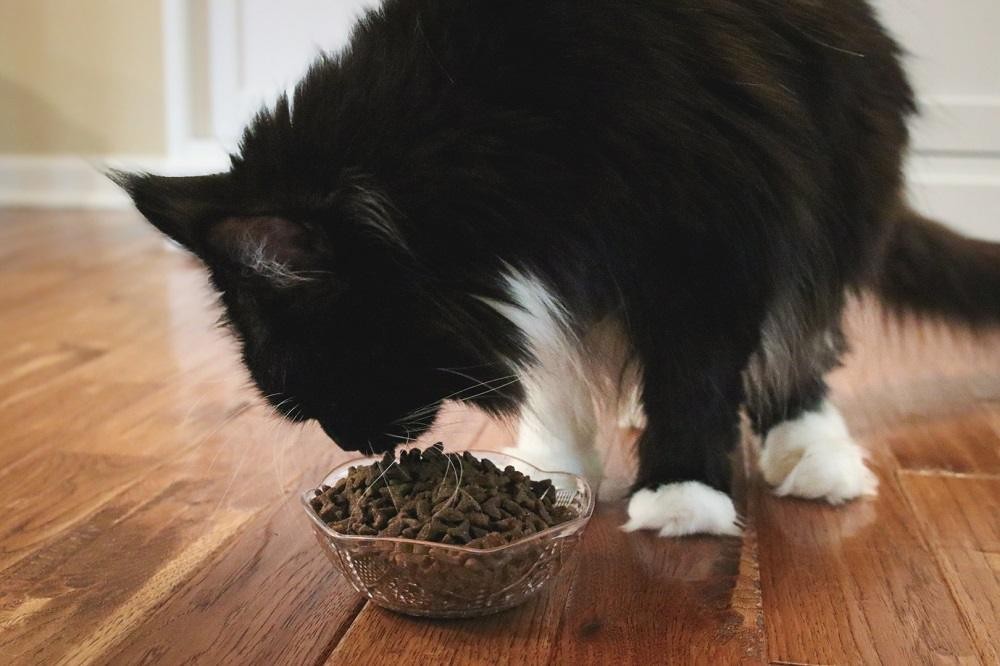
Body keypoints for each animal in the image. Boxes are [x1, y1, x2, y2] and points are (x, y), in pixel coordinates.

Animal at [111, 0, 1000, 536]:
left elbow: (698, 374)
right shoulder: (555, 273)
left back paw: (812, 452)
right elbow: (561, 375)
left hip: (831, 192)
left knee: (804, 343)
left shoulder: (709, 239)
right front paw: (554, 466)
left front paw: (682, 494)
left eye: (318, 384)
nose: (350, 442)